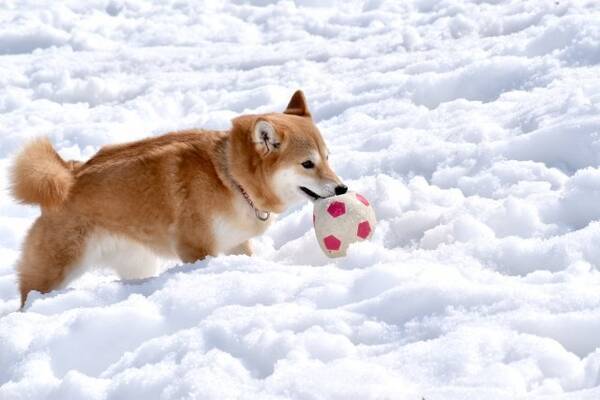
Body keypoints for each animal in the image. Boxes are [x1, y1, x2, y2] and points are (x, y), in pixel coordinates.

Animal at [10, 90, 346, 310]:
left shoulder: (237, 244)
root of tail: (69, 173)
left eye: (328, 158)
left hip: (137, 264)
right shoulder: (197, 249)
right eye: (307, 164)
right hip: (54, 272)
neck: (230, 179)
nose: (342, 189)